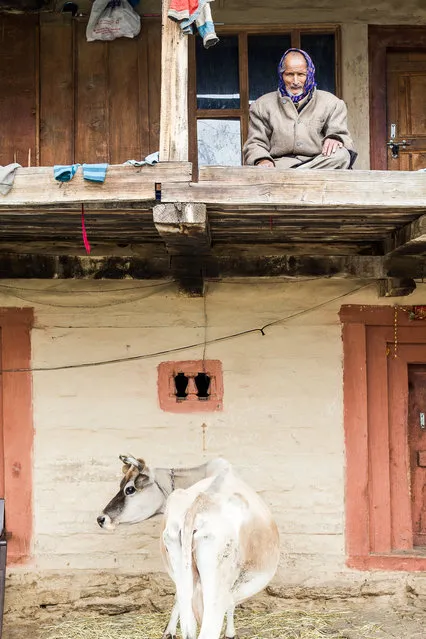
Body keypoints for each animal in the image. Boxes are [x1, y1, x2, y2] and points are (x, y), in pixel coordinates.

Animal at [98, 456, 282, 639]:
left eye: (129, 489)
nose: (101, 519)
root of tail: (199, 502)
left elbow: (177, 600)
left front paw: (169, 631)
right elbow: (231, 606)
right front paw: (230, 633)